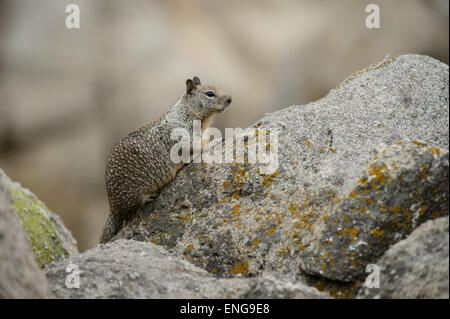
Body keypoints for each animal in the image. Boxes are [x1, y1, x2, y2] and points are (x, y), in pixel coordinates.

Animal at [101, 79, 232, 244]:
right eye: (209, 93)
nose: (230, 99)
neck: (186, 112)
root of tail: (112, 209)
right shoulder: (185, 138)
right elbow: (196, 148)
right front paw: (215, 142)